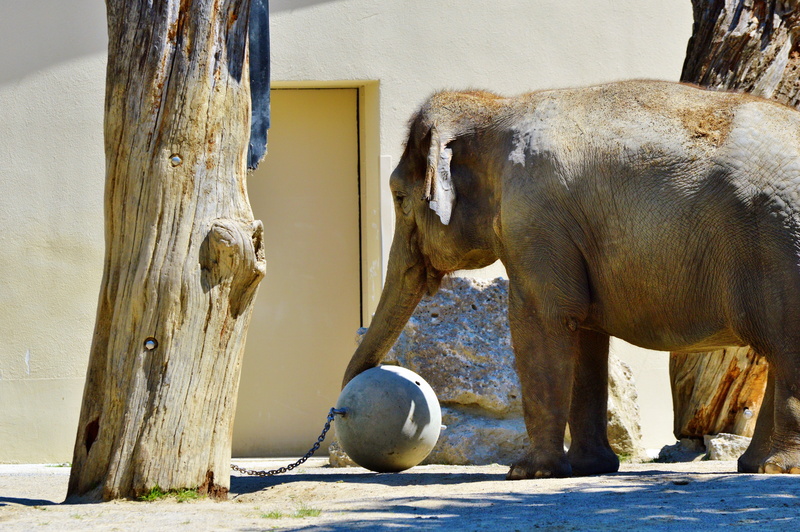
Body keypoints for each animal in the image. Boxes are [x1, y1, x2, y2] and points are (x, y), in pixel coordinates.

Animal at [342, 79, 800, 479]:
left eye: (399, 198)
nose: (343, 409)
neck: (497, 109)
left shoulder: (534, 218)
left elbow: (542, 320)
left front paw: (528, 472)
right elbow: (584, 333)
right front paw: (589, 468)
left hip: (779, 242)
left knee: (785, 347)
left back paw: (776, 468)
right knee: (779, 354)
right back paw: (755, 466)